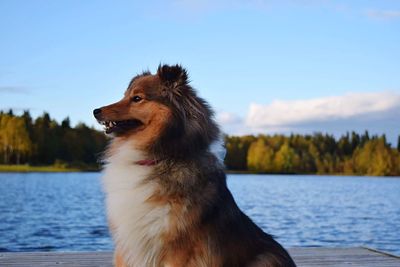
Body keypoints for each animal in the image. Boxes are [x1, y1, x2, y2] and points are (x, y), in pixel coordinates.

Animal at [93, 65, 294, 267]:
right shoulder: (127, 247)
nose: (95, 111)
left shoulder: (178, 251)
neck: (160, 157)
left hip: (265, 258)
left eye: (137, 98)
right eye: (124, 96)